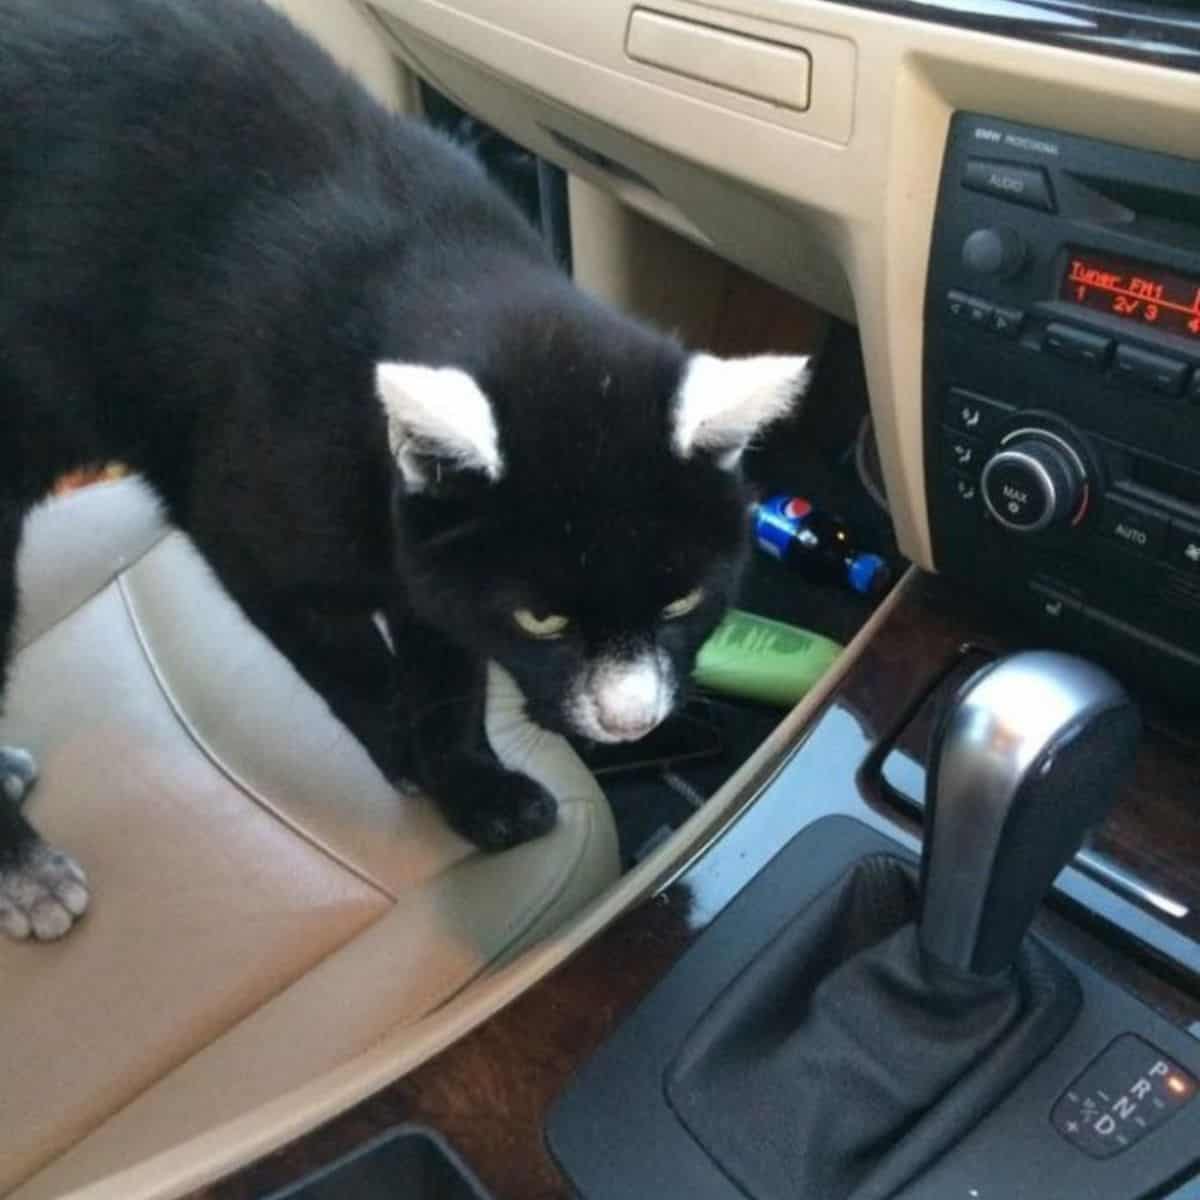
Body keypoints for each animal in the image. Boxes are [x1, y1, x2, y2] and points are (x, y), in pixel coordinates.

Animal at [0, 0, 811, 940]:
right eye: (542, 620)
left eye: (683, 602)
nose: (630, 720)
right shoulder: (250, 539)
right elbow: (359, 671)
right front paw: (411, 761)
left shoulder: (428, 561)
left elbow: (449, 676)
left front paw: (476, 790)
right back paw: (24, 870)